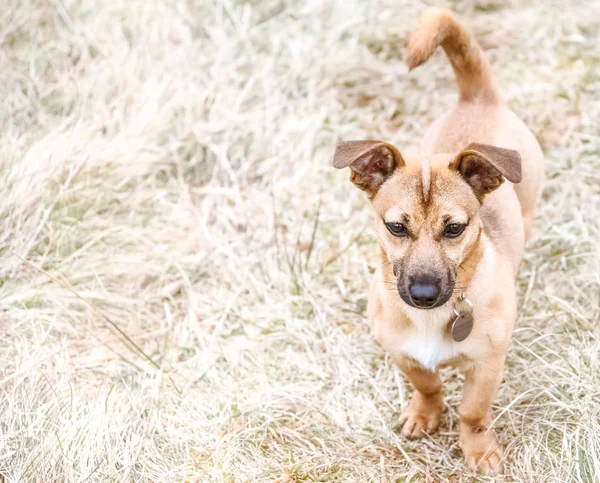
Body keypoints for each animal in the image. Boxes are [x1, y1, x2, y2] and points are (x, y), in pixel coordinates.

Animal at [332, 7, 544, 476]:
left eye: (455, 229)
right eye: (396, 227)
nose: (425, 294)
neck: (432, 319)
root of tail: (477, 97)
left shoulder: (486, 366)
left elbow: (472, 412)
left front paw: (477, 448)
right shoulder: (402, 353)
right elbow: (428, 383)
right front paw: (425, 413)